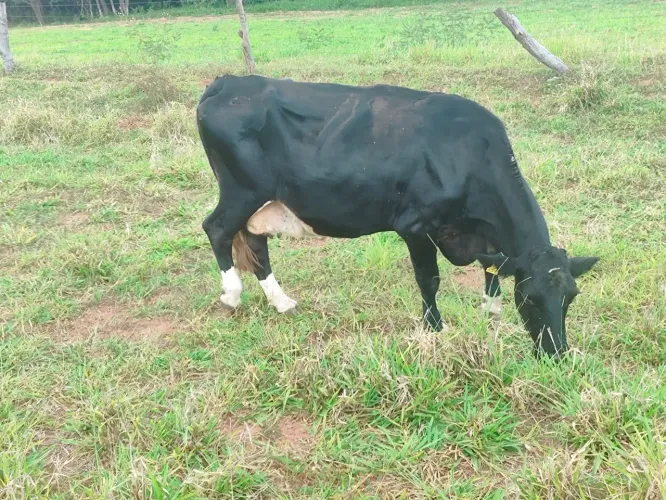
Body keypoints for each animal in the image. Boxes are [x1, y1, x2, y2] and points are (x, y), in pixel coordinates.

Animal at [196, 74, 599, 358]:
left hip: (261, 202)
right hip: (241, 192)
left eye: (572, 296)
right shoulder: (416, 226)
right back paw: (231, 296)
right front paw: (435, 329)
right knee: (216, 228)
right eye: (530, 298)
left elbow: (492, 275)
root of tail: (228, 82)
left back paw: (282, 302)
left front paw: (492, 316)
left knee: (255, 242)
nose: (556, 353)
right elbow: (429, 280)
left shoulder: (483, 238)